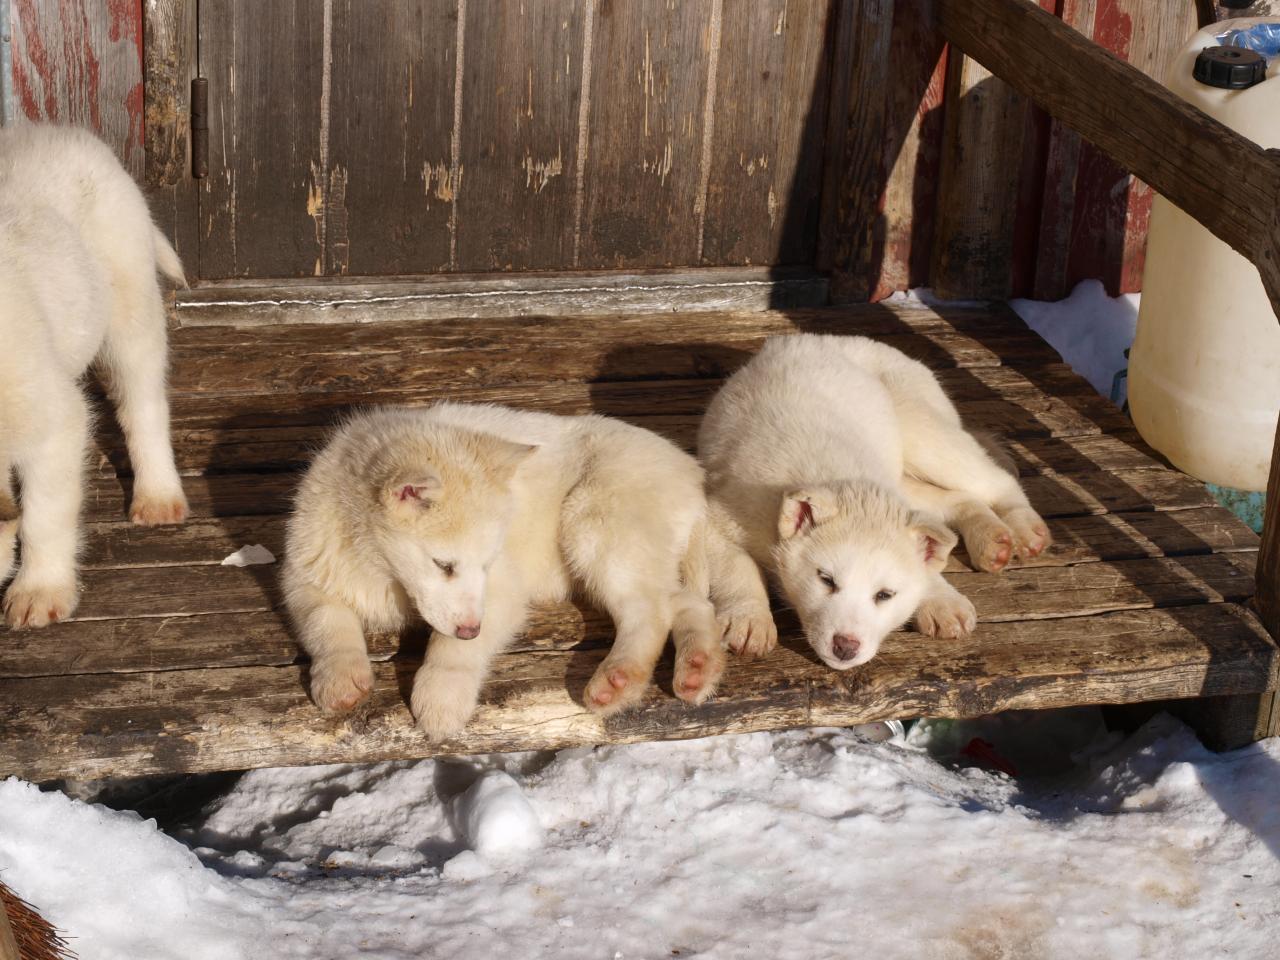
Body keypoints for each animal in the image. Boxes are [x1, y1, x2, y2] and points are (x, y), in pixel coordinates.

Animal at [0, 124, 188, 627]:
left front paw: (39, 590)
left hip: (131, 304)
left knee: (144, 404)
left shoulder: (54, 421)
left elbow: (44, 514)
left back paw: (158, 494)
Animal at [281, 401, 727, 742]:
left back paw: (619, 681)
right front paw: (340, 677)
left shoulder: (501, 590)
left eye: (485, 561)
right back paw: (697, 667)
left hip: (595, 521)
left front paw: (442, 696)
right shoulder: (307, 573)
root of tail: (693, 475)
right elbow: (326, 621)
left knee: (649, 611)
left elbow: (453, 649)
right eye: (444, 565)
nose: (469, 628)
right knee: (687, 603)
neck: (381, 567)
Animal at [701, 335, 1049, 670]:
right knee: (960, 497)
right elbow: (737, 566)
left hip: (921, 431)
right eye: (826, 580)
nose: (845, 647)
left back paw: (1023, 529)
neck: (839, 469)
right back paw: (992, 540)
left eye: (884, 595)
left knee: (994, 480)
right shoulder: (719, 513)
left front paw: (940, 600)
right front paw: (749, 619)